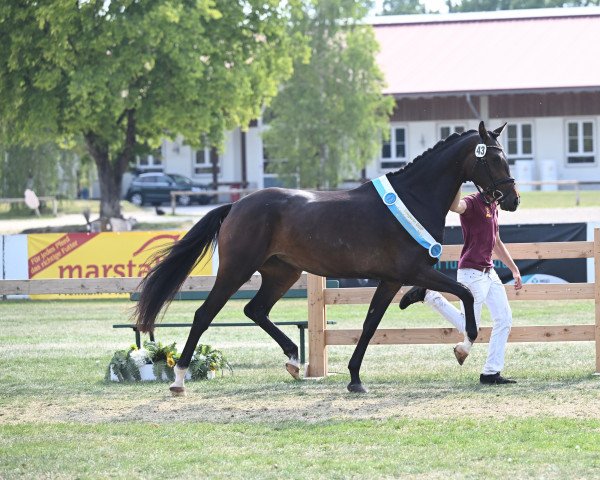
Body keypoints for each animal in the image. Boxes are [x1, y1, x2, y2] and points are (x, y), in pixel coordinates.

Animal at [136, 122, 520, 396]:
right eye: (493, 158)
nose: (513, 199)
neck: (414, 198)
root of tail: (236, 205)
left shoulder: (392, 279)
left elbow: (370, 324)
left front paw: (355, 378)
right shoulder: (413, 270)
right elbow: (466, 294)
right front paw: (463, 347)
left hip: (282, 273)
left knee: (255, 309)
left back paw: (293, 360)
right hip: (236, 270)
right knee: (204, 314)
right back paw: (179, 379)